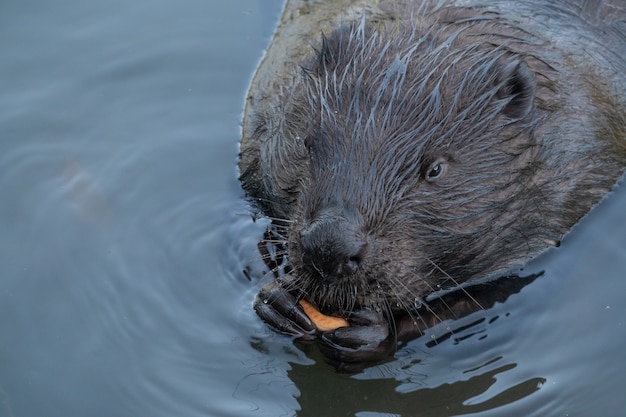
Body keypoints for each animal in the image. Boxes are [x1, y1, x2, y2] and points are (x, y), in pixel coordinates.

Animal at [235, 0, 624, 368]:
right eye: (306, 143)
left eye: (435, 169)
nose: (329, 248)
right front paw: (278, 300)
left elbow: (480, 298)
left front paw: (374, 333)